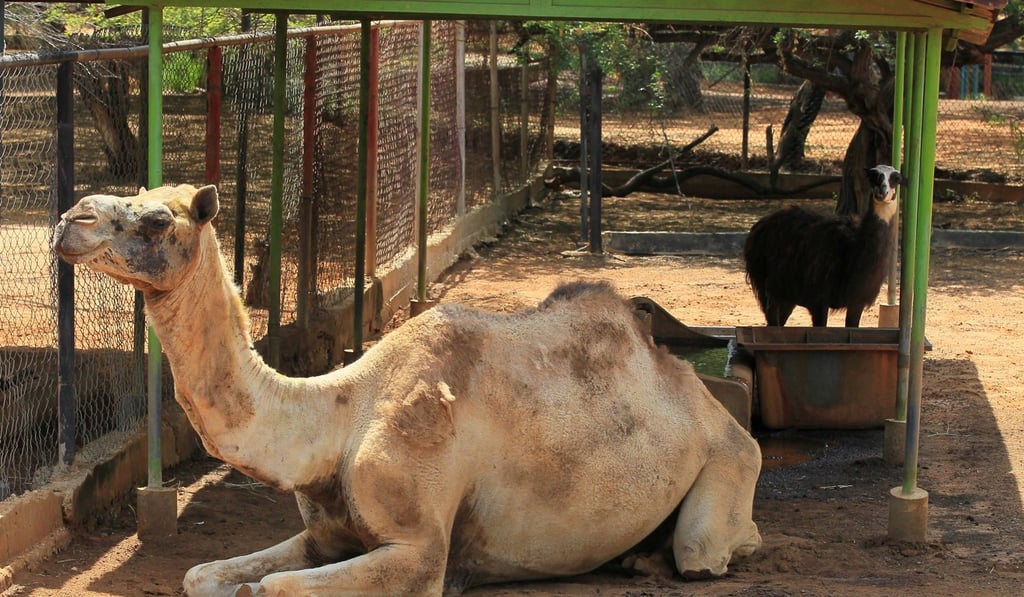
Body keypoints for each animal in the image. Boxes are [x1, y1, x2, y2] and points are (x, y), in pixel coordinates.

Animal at [52, 184, 762, 596]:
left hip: (729, 456)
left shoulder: (421, 548)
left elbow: (274, 587)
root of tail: (703, 397)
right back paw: (636, 559)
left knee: (704, 551)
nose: (68, 220)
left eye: (154, 220)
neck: (337, 420)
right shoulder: (325, 534)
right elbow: (202, 574)